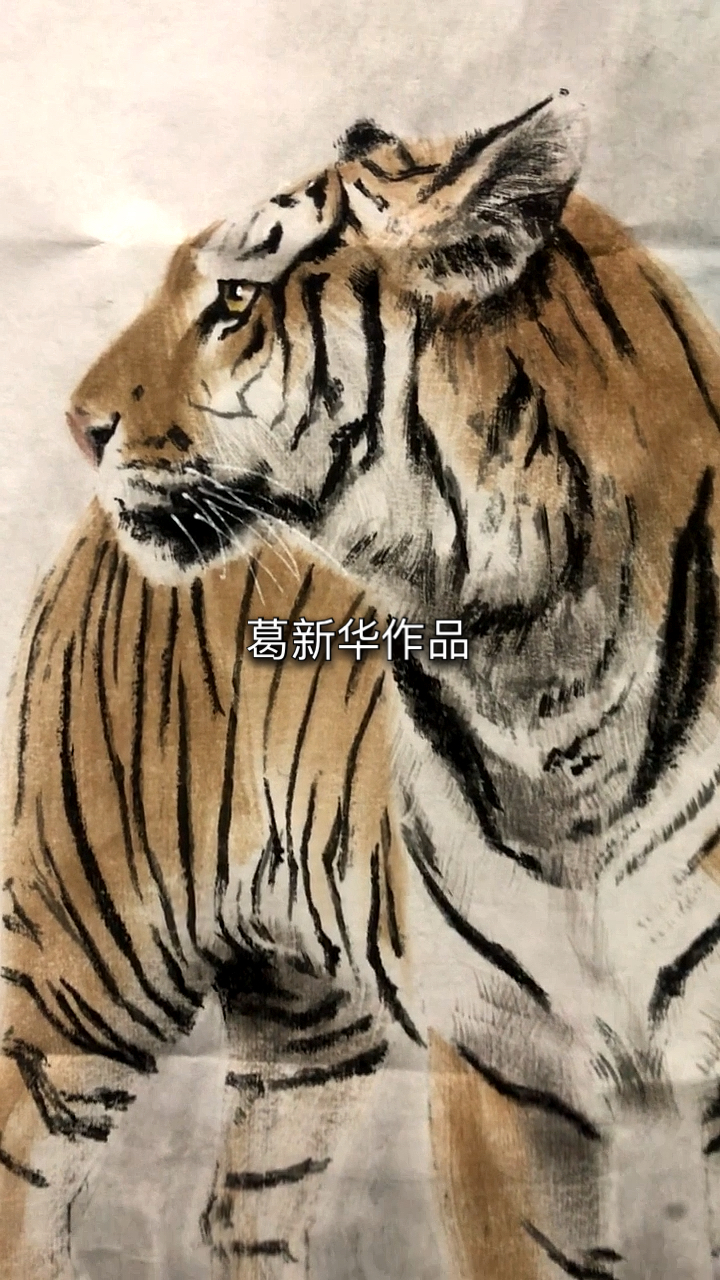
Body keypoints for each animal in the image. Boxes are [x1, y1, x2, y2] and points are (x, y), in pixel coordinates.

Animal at [4, 87, 720, 1278]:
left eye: (234, 298)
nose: (78, 423)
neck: (543, 683)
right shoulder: (506, 1059)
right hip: (82, 964)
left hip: (302, 1022)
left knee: (245, 1208)